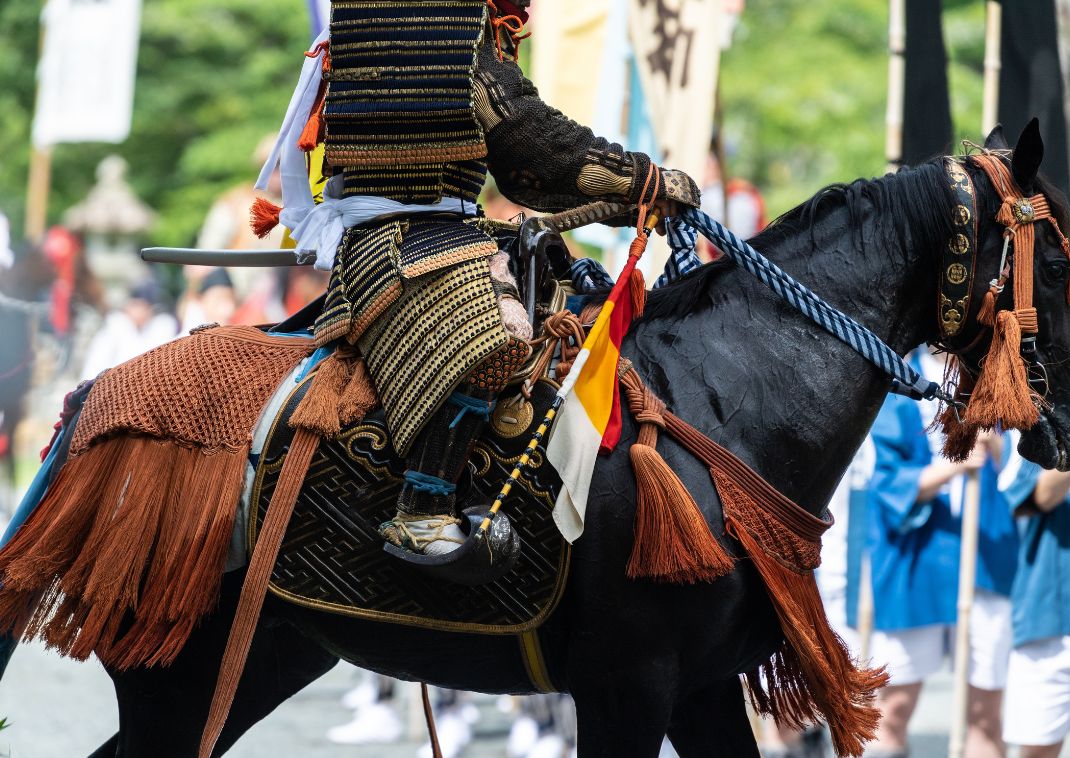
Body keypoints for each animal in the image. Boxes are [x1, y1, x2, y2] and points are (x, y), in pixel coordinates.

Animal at [56, 121, 1070, 753]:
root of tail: (88, 402)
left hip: (265, 656)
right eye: (1059, 253)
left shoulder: (700, 688)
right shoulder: (628, 684)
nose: (1058, 433)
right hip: (172, 667)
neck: (725, 402)